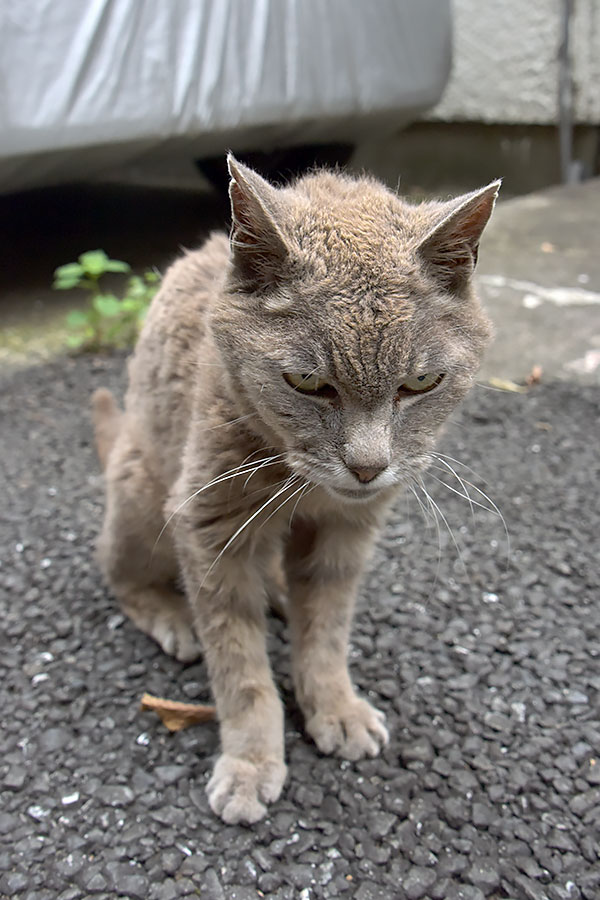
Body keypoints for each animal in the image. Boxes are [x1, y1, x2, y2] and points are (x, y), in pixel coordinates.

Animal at [92, 155, 496, 824]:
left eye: (421, 383)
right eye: (307, 381)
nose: (368, 467)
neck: (301, 484)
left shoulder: (346, 535)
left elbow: (326, 631)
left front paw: (335, 708)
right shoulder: (209, 528)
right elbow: (239, 663)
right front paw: (252, 763)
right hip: (140, 492)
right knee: (121, 575)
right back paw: (174, 617)